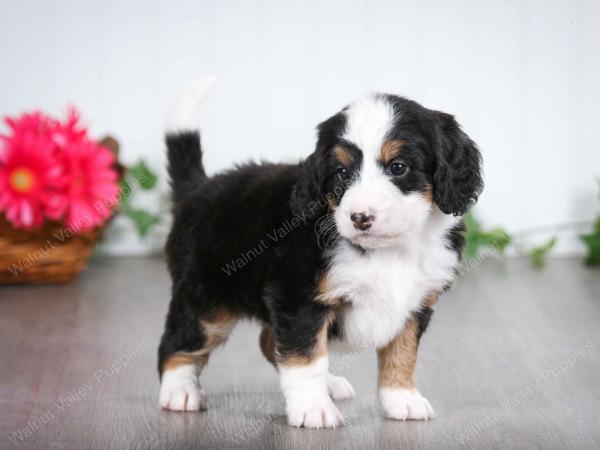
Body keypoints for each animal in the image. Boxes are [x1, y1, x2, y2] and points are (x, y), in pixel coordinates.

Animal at [158, 78, 482, 428]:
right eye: (341, 172)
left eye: (398, 167)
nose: (360, 217)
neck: (387, 250)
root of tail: (199, 190)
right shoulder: (299, 298)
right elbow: (305, 357)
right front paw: (313, 408)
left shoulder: (415, 304)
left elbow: (402, 352)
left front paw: (401, 399)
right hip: (205, 300)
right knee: (178, 342)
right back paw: (179, 391)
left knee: (270, 343)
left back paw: (330, 384)